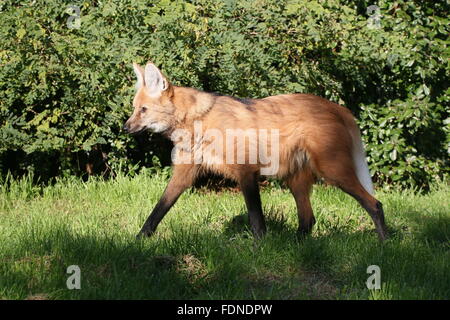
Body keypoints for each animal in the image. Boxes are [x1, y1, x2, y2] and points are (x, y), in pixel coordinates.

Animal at [125, 62, 388, 240]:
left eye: (143, 110)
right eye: (135, 109)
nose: (126, 127)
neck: (198, 122)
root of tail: (337, 107)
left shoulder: (246, 171)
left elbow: (255, 217)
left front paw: (260, 246)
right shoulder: (184, 174)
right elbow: (159, 208)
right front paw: (139, 239)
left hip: (332, 170)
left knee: (375, 204)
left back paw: (384, 242)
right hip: (296, 178)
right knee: (307, 219)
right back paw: (296, 247)